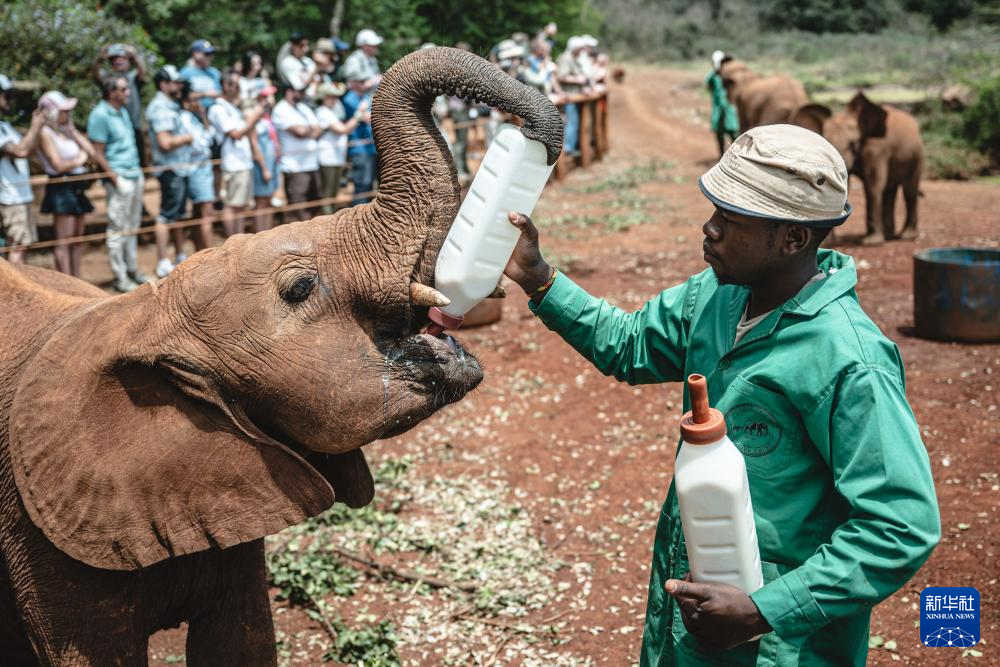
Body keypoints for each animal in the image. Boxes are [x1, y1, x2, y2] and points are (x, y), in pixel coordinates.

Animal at [792, 92, 924, 247]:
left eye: (853, 144)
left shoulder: (876, 148)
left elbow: (873, 185)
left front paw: (871, 243)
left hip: (917, 154)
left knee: (910, 189)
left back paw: (905, 236)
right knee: (890, 191)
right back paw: (889, 236)